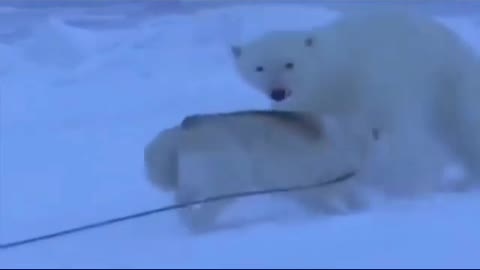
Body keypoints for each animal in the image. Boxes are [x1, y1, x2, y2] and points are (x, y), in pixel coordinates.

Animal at [232, 10, 480, 196]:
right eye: (259, 67)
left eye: (289, 63)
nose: (277, 92)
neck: (339, 75)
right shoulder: (311, 100)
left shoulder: (375, 83)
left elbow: (398, 134)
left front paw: (406, 185)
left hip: (450, 78)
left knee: (462, 127)